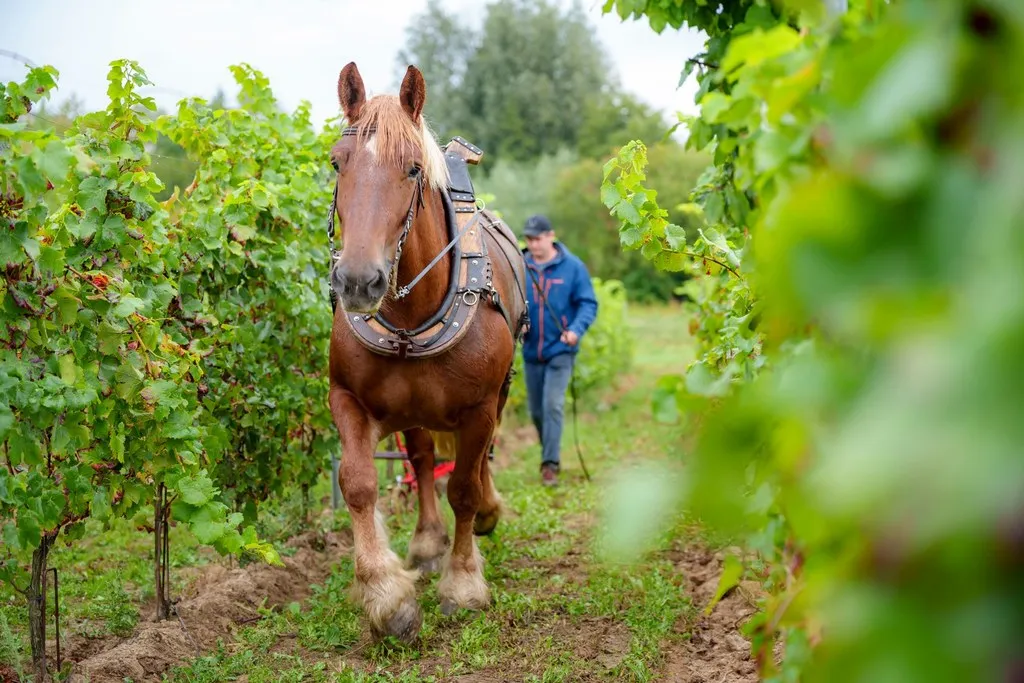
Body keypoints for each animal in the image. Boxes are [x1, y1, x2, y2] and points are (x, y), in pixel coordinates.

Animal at [325, 61, 528, 644]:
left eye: (413, 169)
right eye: (337, 163)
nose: (358, 280)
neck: (411, 320)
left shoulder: (480, 407)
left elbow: (463, 486)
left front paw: (463, 583)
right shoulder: (346, 398)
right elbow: (358, 483)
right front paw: (386, 594)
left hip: (499, 395)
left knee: (476, 463)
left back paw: (483, 515)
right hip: (411, 408)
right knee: (419, 456)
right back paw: (427, 541)